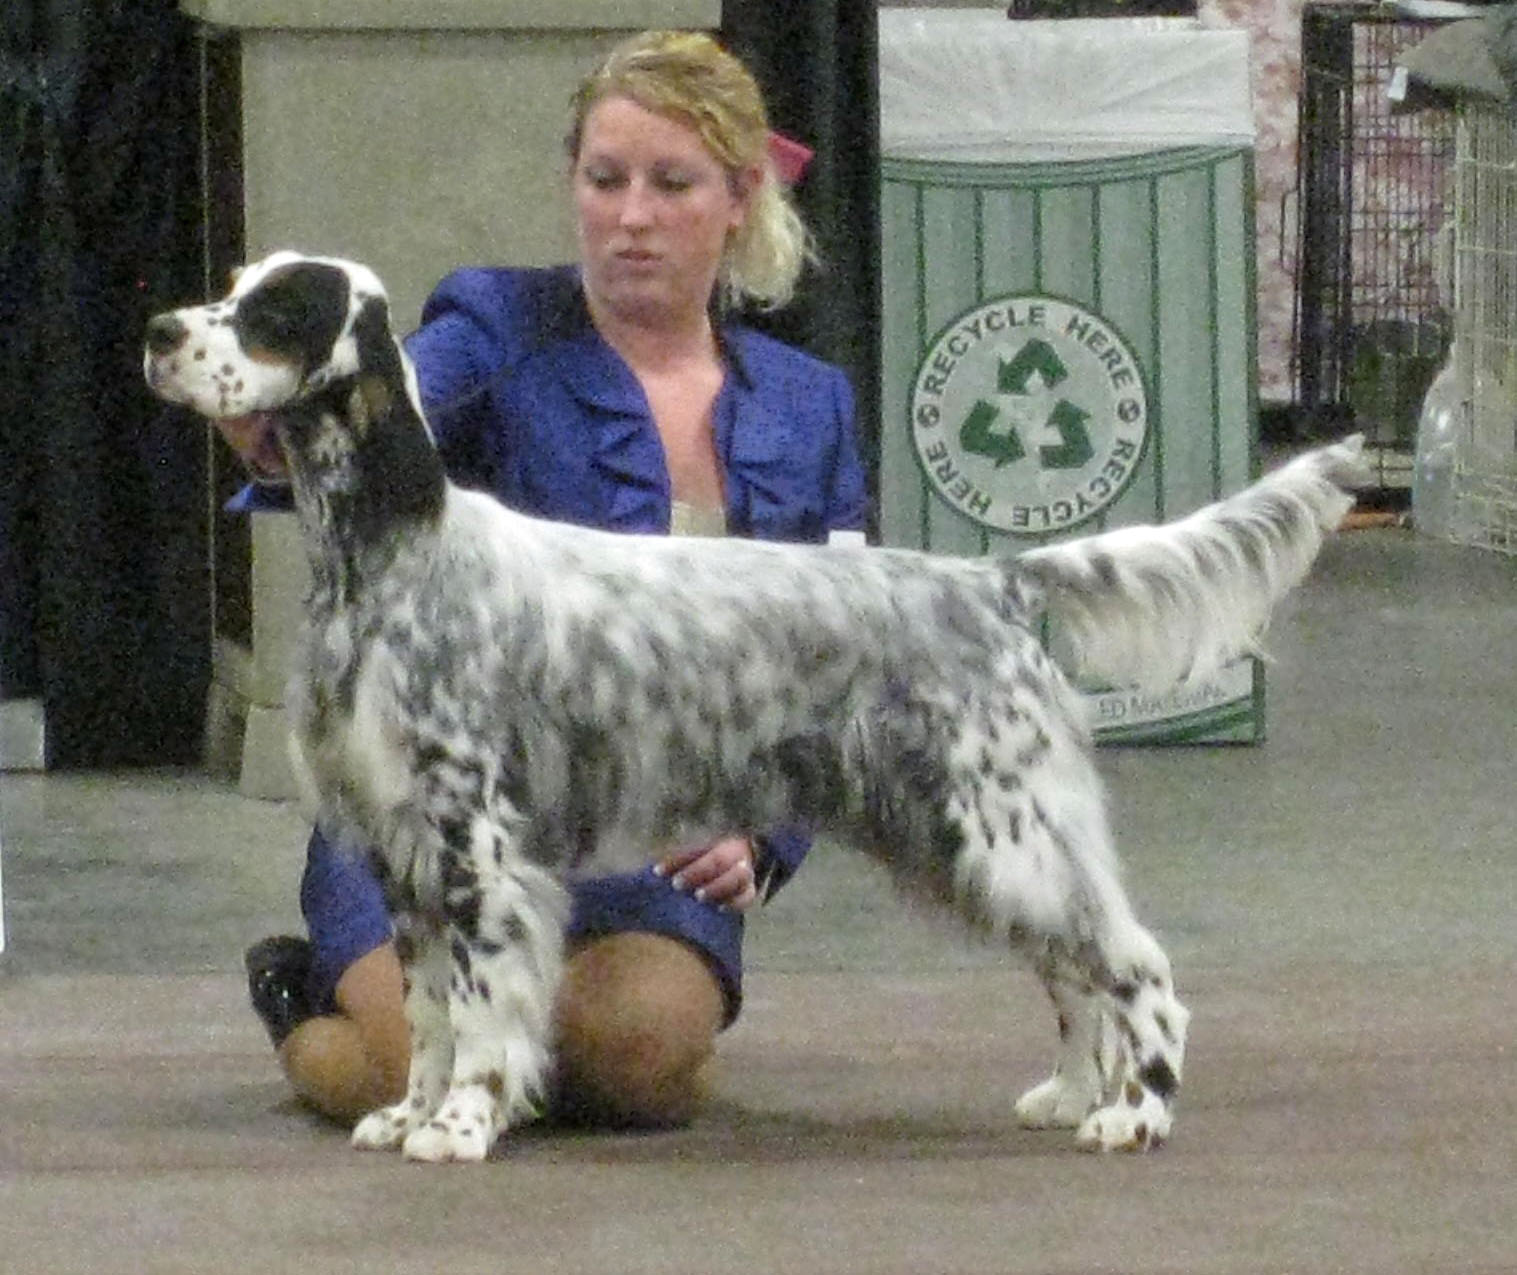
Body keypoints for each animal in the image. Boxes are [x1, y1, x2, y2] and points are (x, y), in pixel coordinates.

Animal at [144, 251, 1365, 1165]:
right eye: (231, 286)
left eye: (273, 312)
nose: (158, 330)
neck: (391, 559)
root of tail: (995, 581)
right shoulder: (401, 856)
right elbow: (427, 1011)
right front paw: (408, 1111)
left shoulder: (476, 846)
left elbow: (484, 1004)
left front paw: (460, 1124)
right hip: (963, 836)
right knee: (1072, 970)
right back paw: (1072, 1095)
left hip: (1005, 824)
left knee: (1135, 965)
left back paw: (1136, 1113)